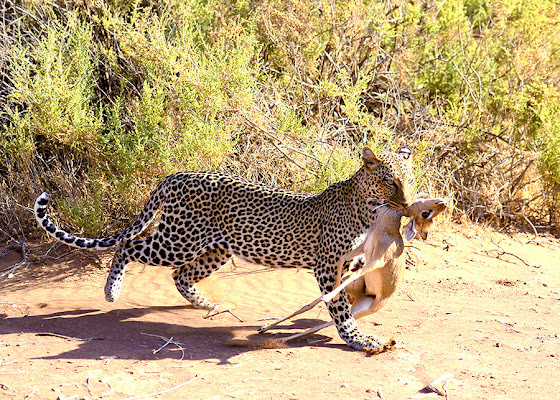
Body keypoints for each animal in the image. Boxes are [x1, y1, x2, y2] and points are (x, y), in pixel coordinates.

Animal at [32, 146, 414, 350]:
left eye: (409, 178)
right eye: (390, 182)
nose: (409, 203)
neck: (368, 210)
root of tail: (175, 175)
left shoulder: (352, 263)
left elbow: (347, 295)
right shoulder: (326, 265)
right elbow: (339, 307)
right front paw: (358, 339)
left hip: (216, 249)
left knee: (180, 274)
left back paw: (208, 306)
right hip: (177, 239)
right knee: (128, 245)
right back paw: (111, 291)